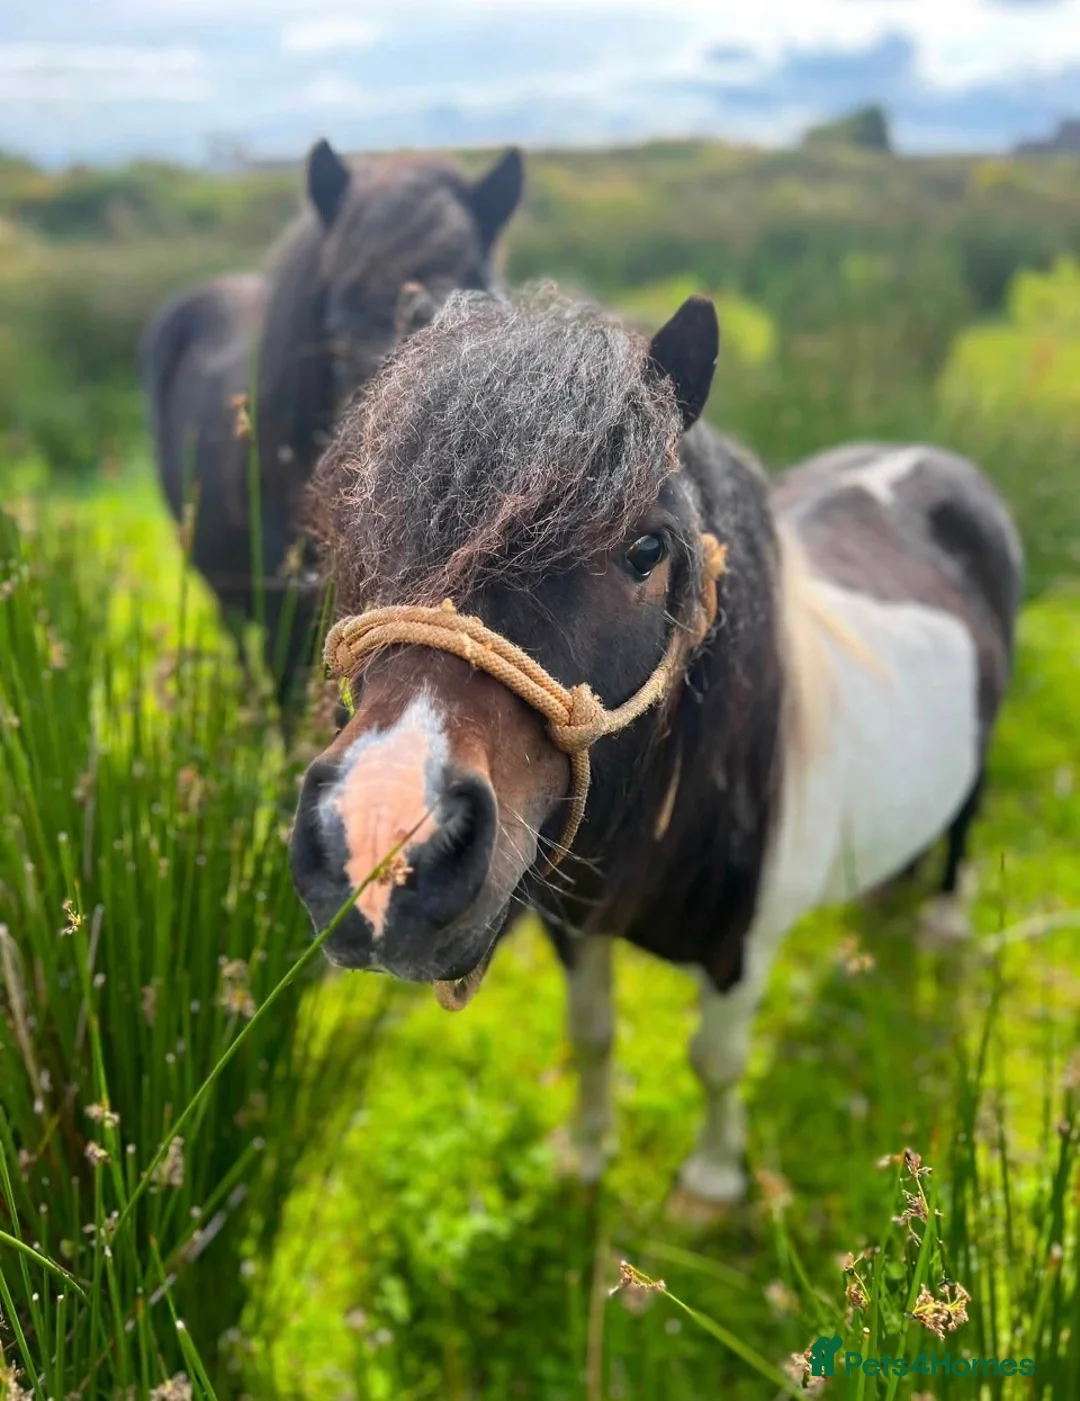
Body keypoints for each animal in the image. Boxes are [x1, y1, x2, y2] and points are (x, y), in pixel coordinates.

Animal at [288, 289, 1023, 1206]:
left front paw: (709, 1183)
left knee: (963, 822)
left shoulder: (742, 949)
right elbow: (592, 1035)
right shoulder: (576, 928)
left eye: (647, 549)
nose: (379, 844)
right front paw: (587, 1152)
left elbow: (715, 1060)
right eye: (362, 524)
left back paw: (944, 920)